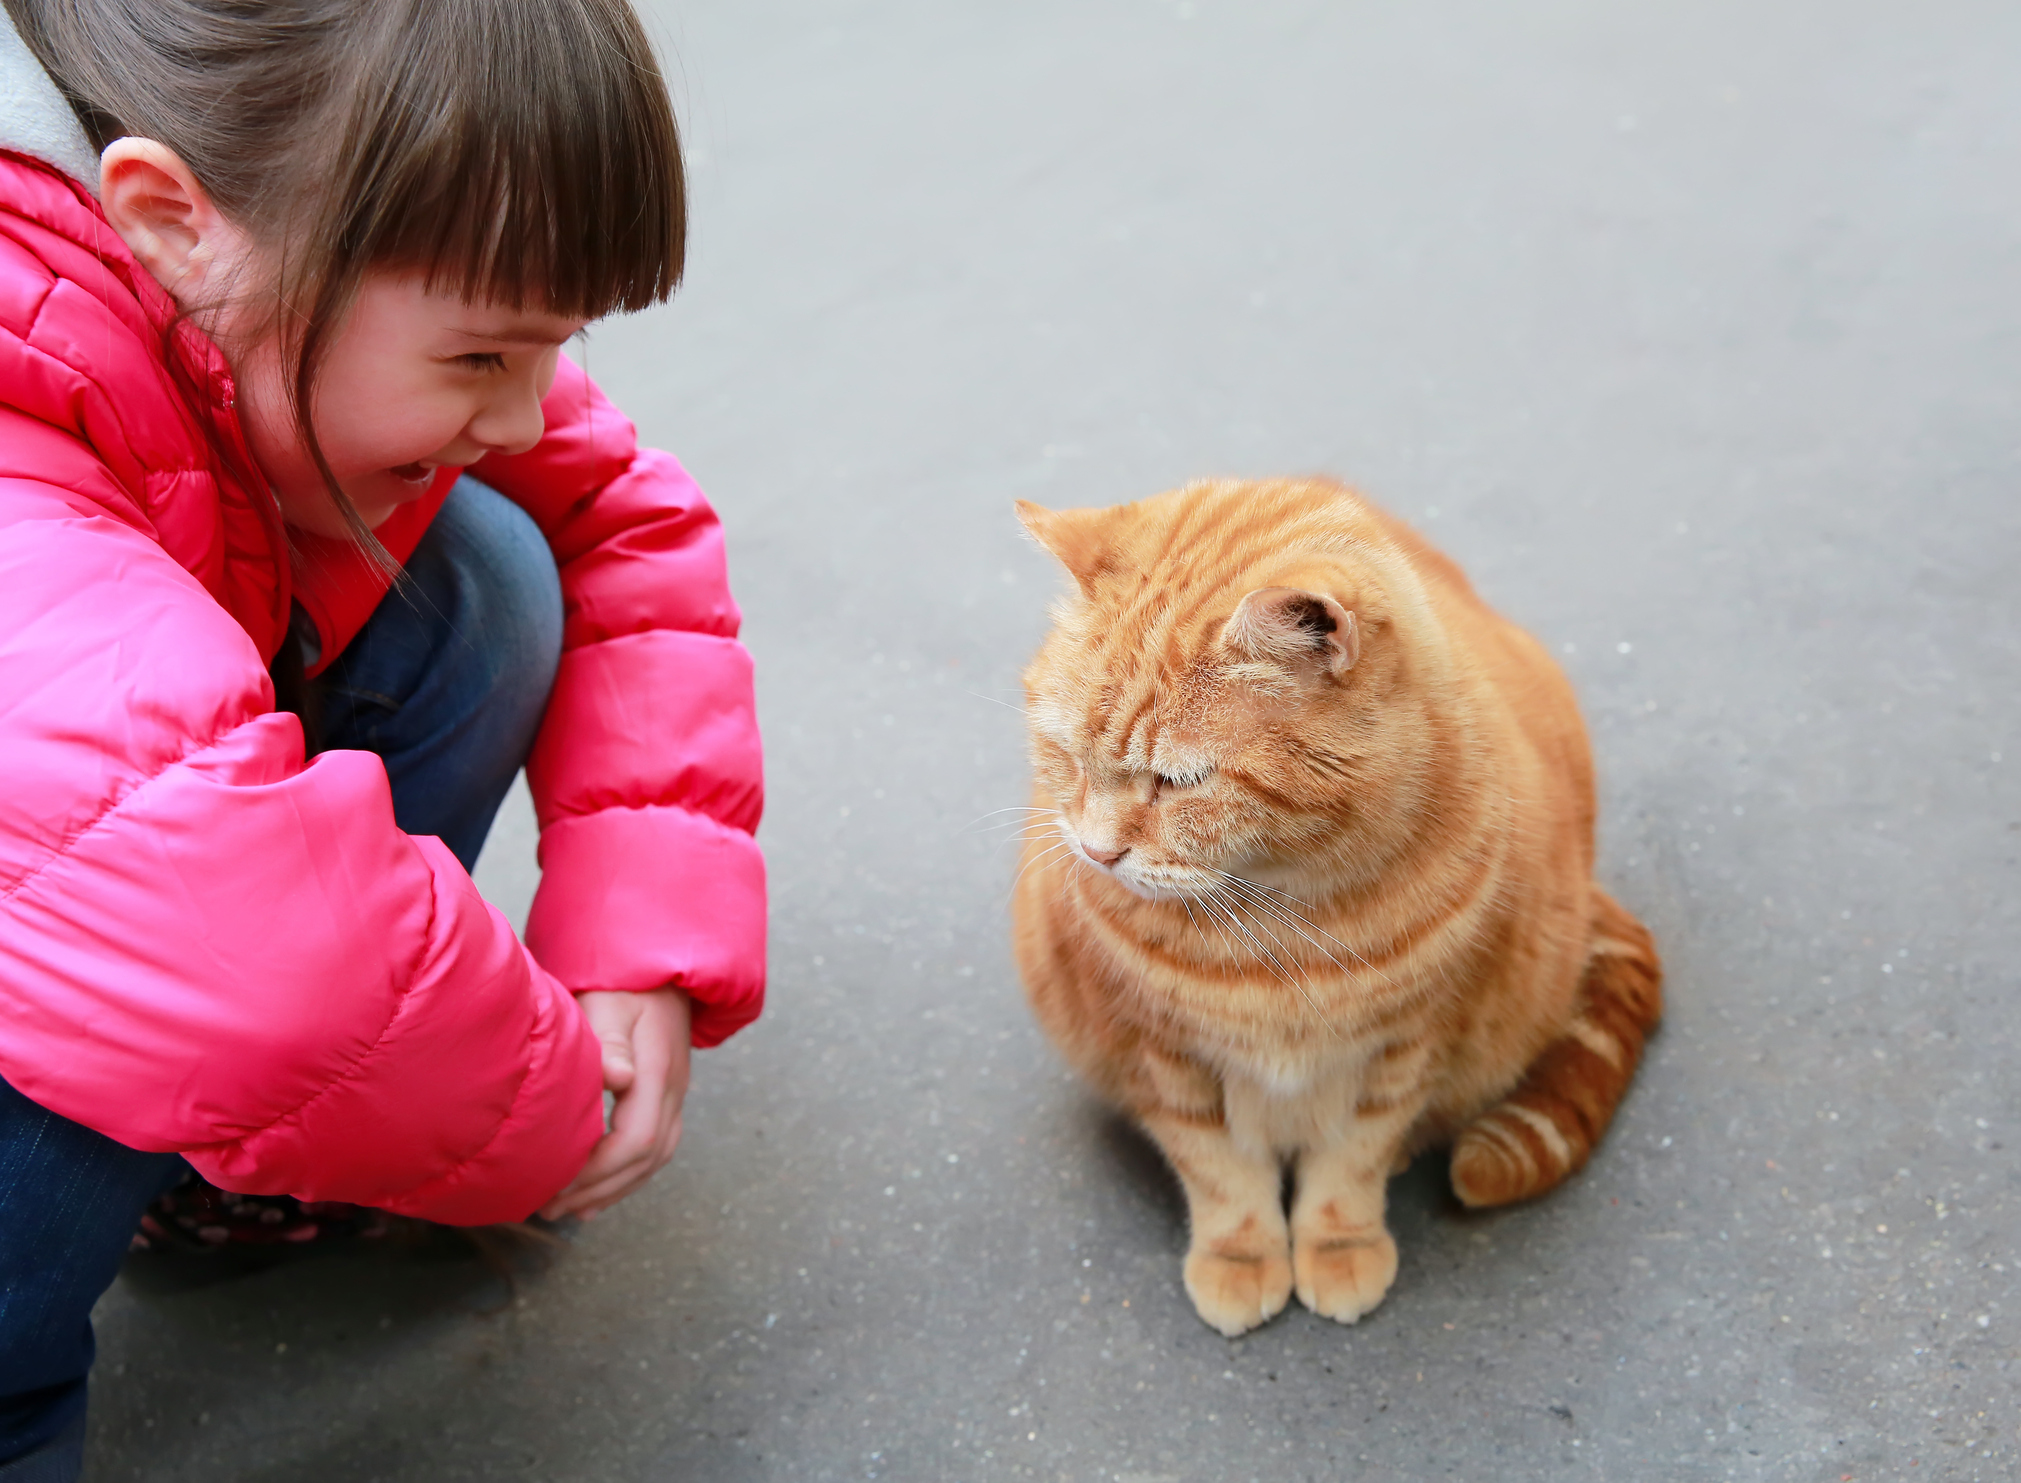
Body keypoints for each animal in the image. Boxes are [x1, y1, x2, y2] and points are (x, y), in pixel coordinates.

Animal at [1006, 482, 1657, 1341]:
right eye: (1066, 756)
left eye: (1179, 782)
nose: (1095, 852)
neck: (1286, 922)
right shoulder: (1163, 1060)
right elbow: (1221, 1176)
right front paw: (1240, 1257)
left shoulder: (1407, 1047)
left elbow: (1352, 1162)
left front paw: (1340, 1243)